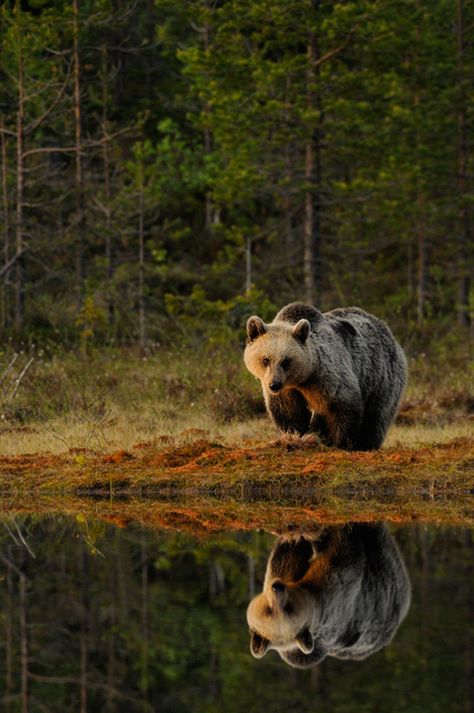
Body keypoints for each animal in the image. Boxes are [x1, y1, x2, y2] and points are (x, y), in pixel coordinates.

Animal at [244, 302, 408, 448]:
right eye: (265, 359)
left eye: (286, 361)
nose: (274, 384)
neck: (302, 378)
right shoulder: (288, 390)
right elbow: (288, 411)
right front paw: (293, 435)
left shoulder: (325, 376)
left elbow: (342, 405)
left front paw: (340, 442)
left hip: (381, 376)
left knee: (377, 414)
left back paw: (367, 443)